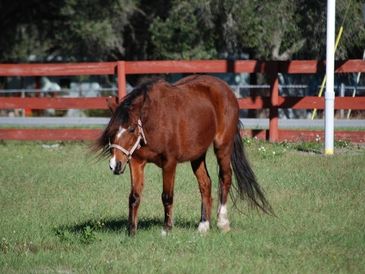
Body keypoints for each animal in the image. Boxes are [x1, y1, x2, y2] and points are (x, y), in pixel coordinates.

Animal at [95, 74, 272, 235]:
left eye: (131, 129)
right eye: (111, 131)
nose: (115, 165)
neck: (153, 122)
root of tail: (227, 90)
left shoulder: (169, 162)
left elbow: (167, 196)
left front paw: (166, 229)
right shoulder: (136, 162)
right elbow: (134, 196)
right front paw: (131, 230)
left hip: (223, 146)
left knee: (225, 178)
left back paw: (222, 222)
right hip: (197, 155)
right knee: (205, 184)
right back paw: (203, 225)